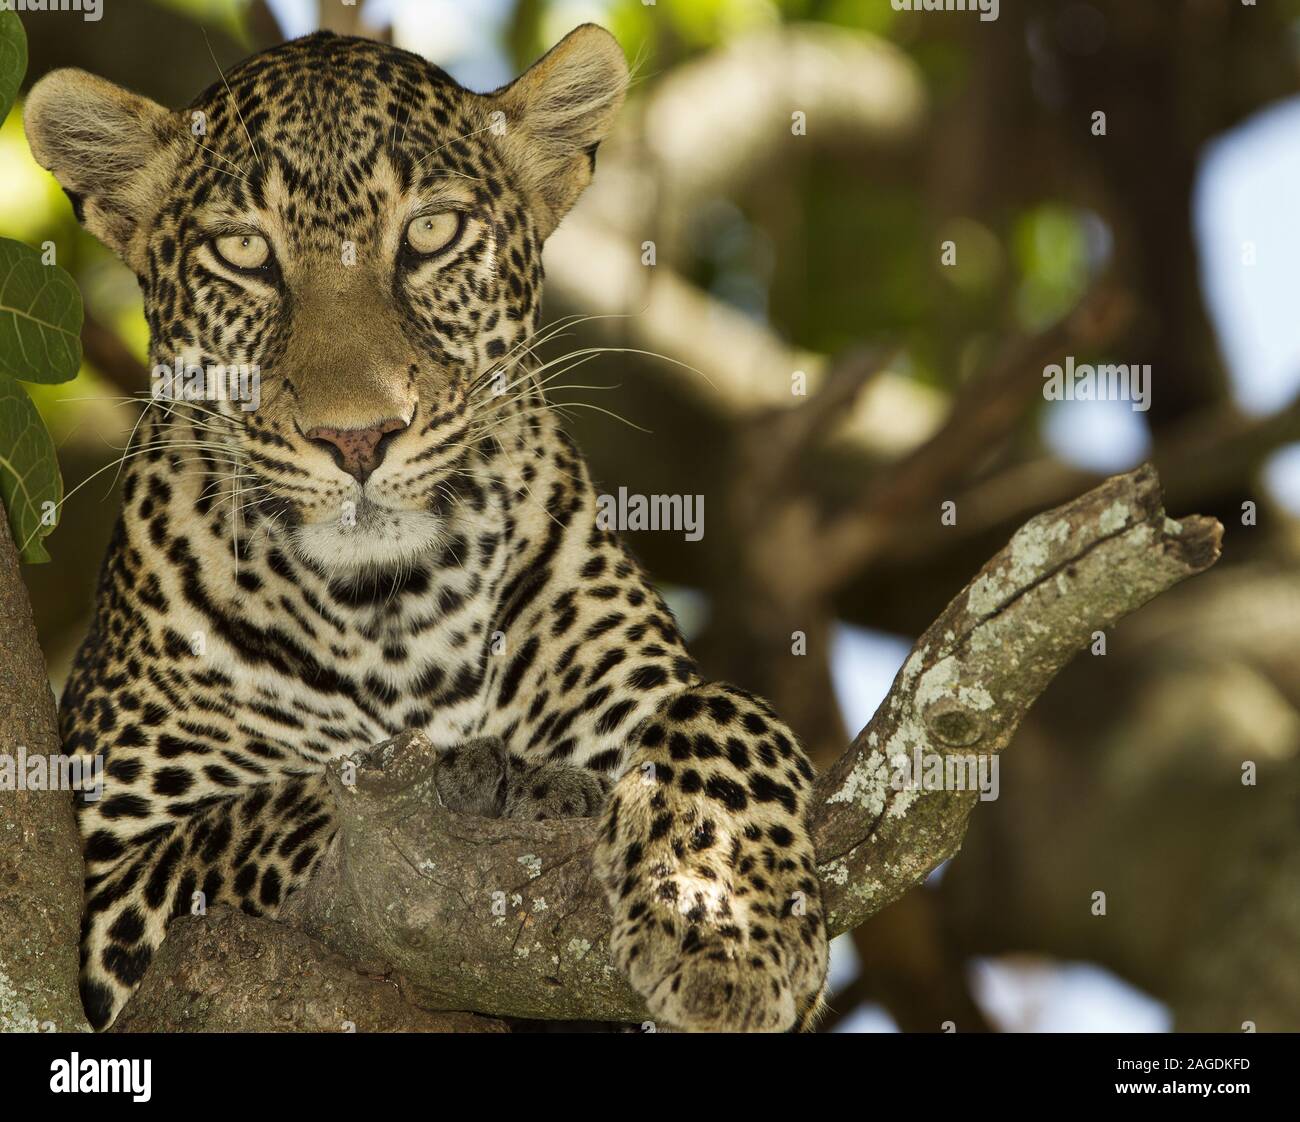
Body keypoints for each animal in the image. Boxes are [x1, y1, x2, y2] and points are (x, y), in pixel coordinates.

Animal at [25, 25, 828, 1032]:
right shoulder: (114, 885)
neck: (393, 614)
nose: (357, 436)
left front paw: (727, 927)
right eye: (244, 250)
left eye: (430, 234)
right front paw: (509, 783)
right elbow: (291, 802)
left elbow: (721, 710)